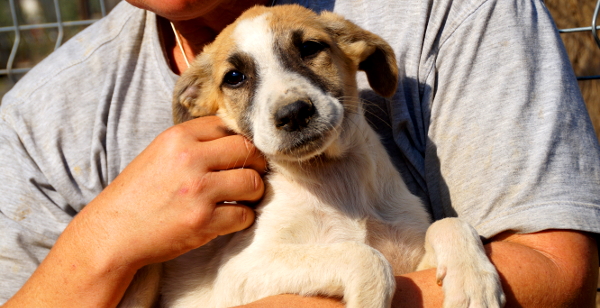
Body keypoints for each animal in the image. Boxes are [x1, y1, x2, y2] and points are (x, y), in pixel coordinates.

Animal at [120, 4, 506, 308]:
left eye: (309, 47)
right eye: (234, 77)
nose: (293, 114)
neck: (334, 177)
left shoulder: (412, 260)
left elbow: (449, 223)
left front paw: (474, 281)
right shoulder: (238, 272)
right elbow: (365, 257)